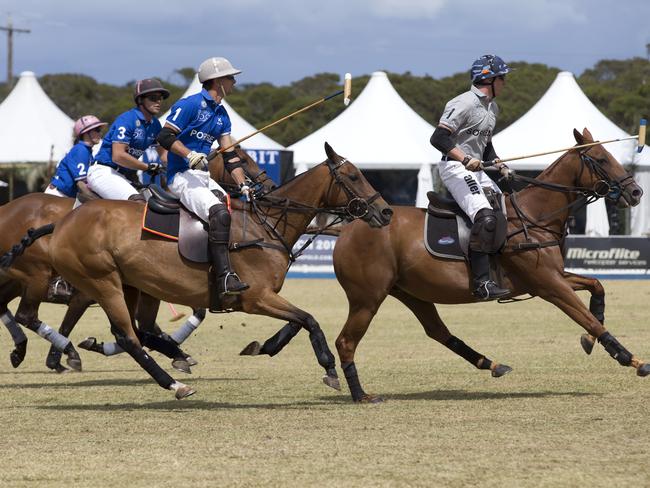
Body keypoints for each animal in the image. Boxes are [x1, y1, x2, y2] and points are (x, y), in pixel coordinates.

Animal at [0, 147, 268, 372]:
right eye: (243, 158)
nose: (266, 185)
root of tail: (7, 208)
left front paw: (177, 351)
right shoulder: (93, 291)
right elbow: (77, 323)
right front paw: (66, 356)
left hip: (17, 279)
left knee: (6, 307)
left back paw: (19, 350)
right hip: (36, 276)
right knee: (25, 314)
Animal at [41, 143, 390, 398]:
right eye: (354, 176)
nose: (385, 212)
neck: (266, 224)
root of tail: (63, 223)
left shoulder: (267, 296)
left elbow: (298, 321)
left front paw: (262, 347)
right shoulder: (256, 298)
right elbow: (310, 320)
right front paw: (329, 369)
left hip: (133, 285)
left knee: (137, 331)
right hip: (102, 281)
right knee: (128, 336)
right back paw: (175, 384)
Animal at [326, 127, 644, 402]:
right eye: (601, 158)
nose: (636, 192)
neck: (533, 216)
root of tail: (346, 229)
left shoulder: (550, 277)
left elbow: (597, 286)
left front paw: (590, 340)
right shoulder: (549, 285)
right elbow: (587, 317)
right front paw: (631, 359)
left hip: (410, 292)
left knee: (437, 332)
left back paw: (491, 364)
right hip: (367, 298)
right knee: (346, 342)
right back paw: (360, 394)